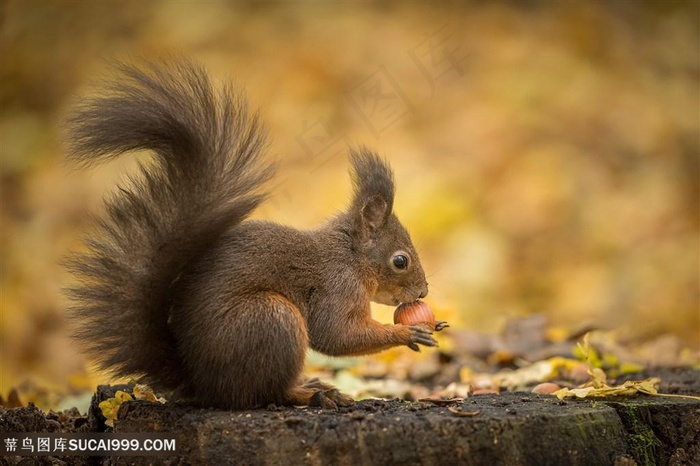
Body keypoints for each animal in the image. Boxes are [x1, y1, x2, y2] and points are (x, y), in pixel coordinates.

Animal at [64, 60, 438, 410]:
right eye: (400, 261)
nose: (423, 291)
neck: (350, 254)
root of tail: (202, 384)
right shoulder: (337, 285)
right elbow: (336, 334)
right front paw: (407, 332)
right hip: (272, 319)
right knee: (264, 392)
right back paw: (310, 393)